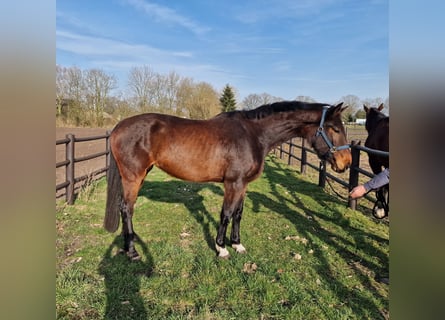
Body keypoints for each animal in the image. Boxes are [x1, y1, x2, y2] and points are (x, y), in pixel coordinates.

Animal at [103, 101, 350, 258]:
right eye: (335, 128)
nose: (346, 163)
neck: (254, 135)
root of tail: (118, 127)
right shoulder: (234, 183)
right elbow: (226, 214)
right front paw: (221, 248)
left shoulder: (244, 184)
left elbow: (238, 214)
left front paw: (237, 244)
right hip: (133, 177)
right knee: (126, 209)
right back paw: (132, 251)